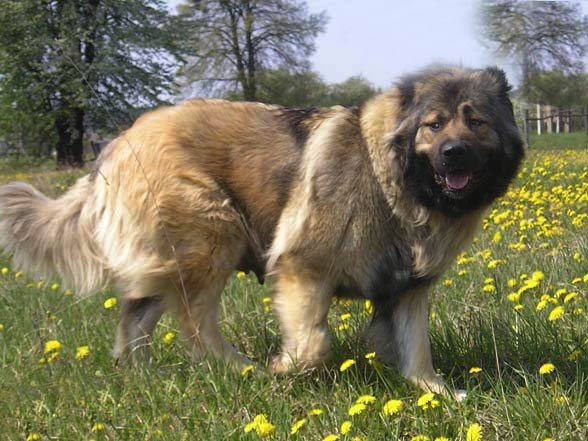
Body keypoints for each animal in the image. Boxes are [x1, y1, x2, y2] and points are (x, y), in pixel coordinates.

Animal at [0, 66, 524, 398]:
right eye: (433, 125)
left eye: (476, 121)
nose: (454, 153)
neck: (392, 179)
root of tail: (116, 144)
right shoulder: (303, 268)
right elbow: (313, 343)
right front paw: (283, 369)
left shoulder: (410, 287)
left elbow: (416, 347)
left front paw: (435, 392)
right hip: (214, 232)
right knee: (195, 323)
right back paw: (241, 369)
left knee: (136, 317)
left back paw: (142, 376)